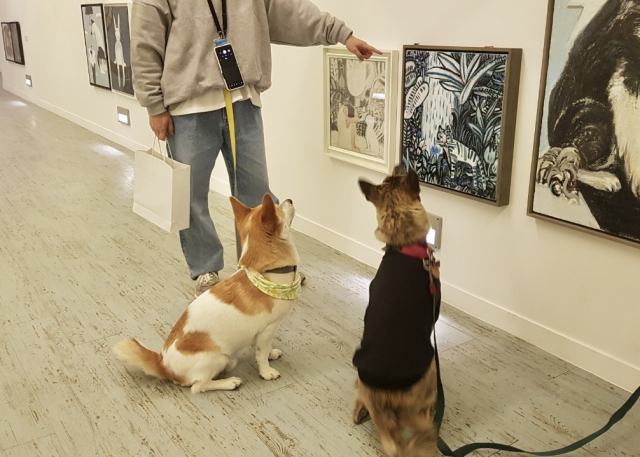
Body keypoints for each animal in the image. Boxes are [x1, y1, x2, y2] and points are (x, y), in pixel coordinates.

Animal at [114, 192, 302, 392]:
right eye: (279, 208)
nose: (289, 199)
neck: (265, 275)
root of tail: (163, 364)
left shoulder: (263, 334)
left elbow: (263, 347)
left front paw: (272, 353)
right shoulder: (268, 329)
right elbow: (261, 354)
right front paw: (266, 371)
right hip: (219, 358)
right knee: (199, 387)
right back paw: (229, 382)